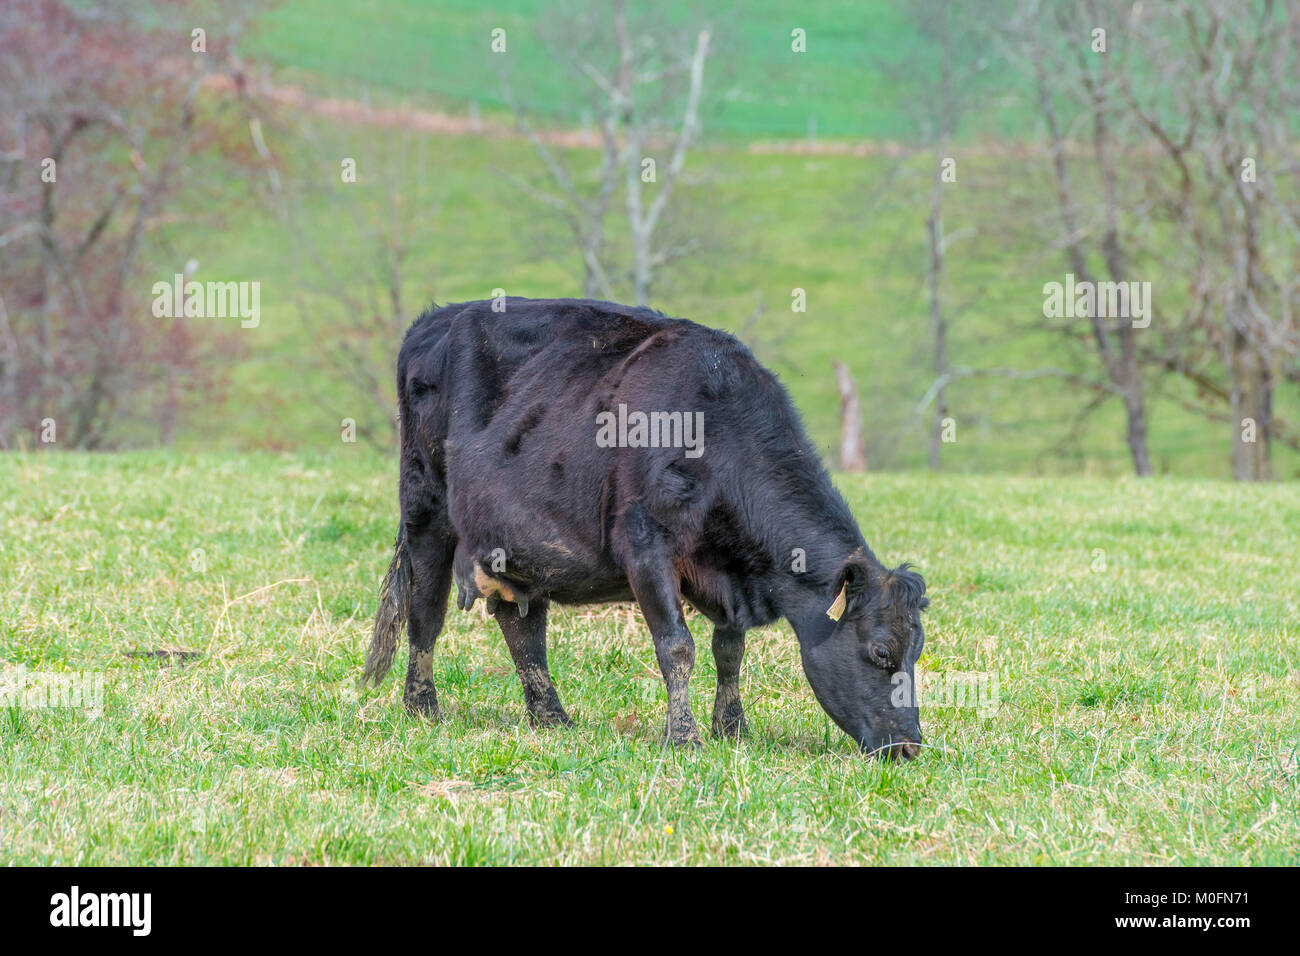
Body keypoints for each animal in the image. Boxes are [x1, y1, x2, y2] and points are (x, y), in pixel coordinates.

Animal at [361, 297, 928, 759]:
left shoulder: (729, 569)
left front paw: (733, 729)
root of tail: (436, 318)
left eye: (917, 649)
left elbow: (730, 650)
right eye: (881, 651)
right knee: (426, 612)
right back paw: (422, 707)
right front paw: (685, 737)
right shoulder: (646, 545)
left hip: (517, 542)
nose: (909, 747)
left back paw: (551, 718)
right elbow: (677, 646)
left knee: (522, 626)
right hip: (426, 507)